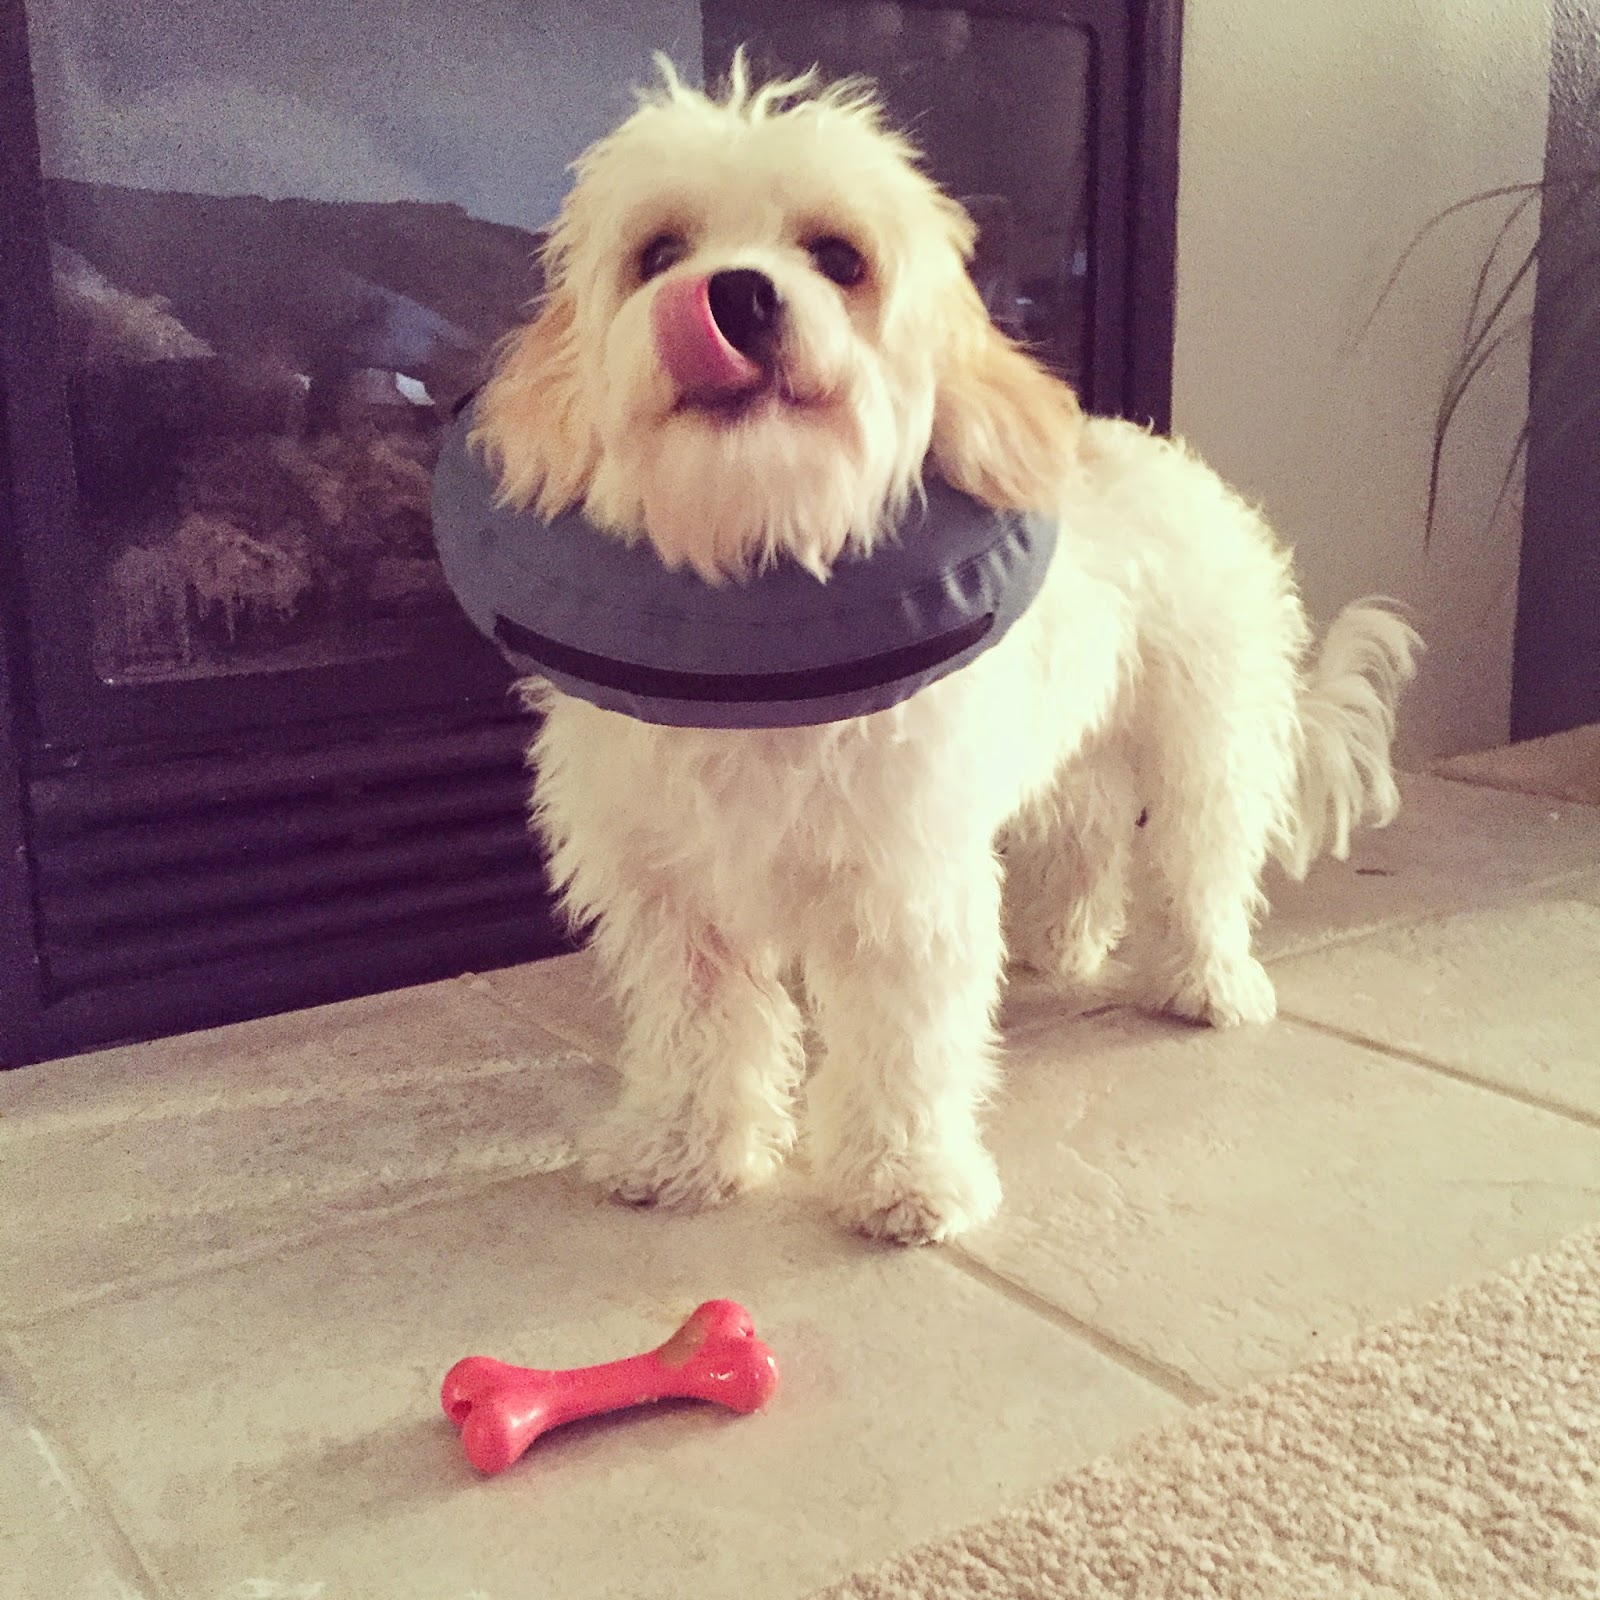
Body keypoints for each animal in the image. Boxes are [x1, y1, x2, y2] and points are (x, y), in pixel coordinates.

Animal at [468, 56, 1421, 1245]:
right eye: (658, 253)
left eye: (838, 257)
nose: (733, 294)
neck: (757, 622)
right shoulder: (671, 897)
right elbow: (699, 1035)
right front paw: (682, 1151)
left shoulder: (902, 884)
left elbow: (904, 1045)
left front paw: (904, 1179)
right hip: (1069, 759)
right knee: (1087, 838)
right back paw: (1064, 943)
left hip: (1205, 747)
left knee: (1198, 866)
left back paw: (1209, 982)